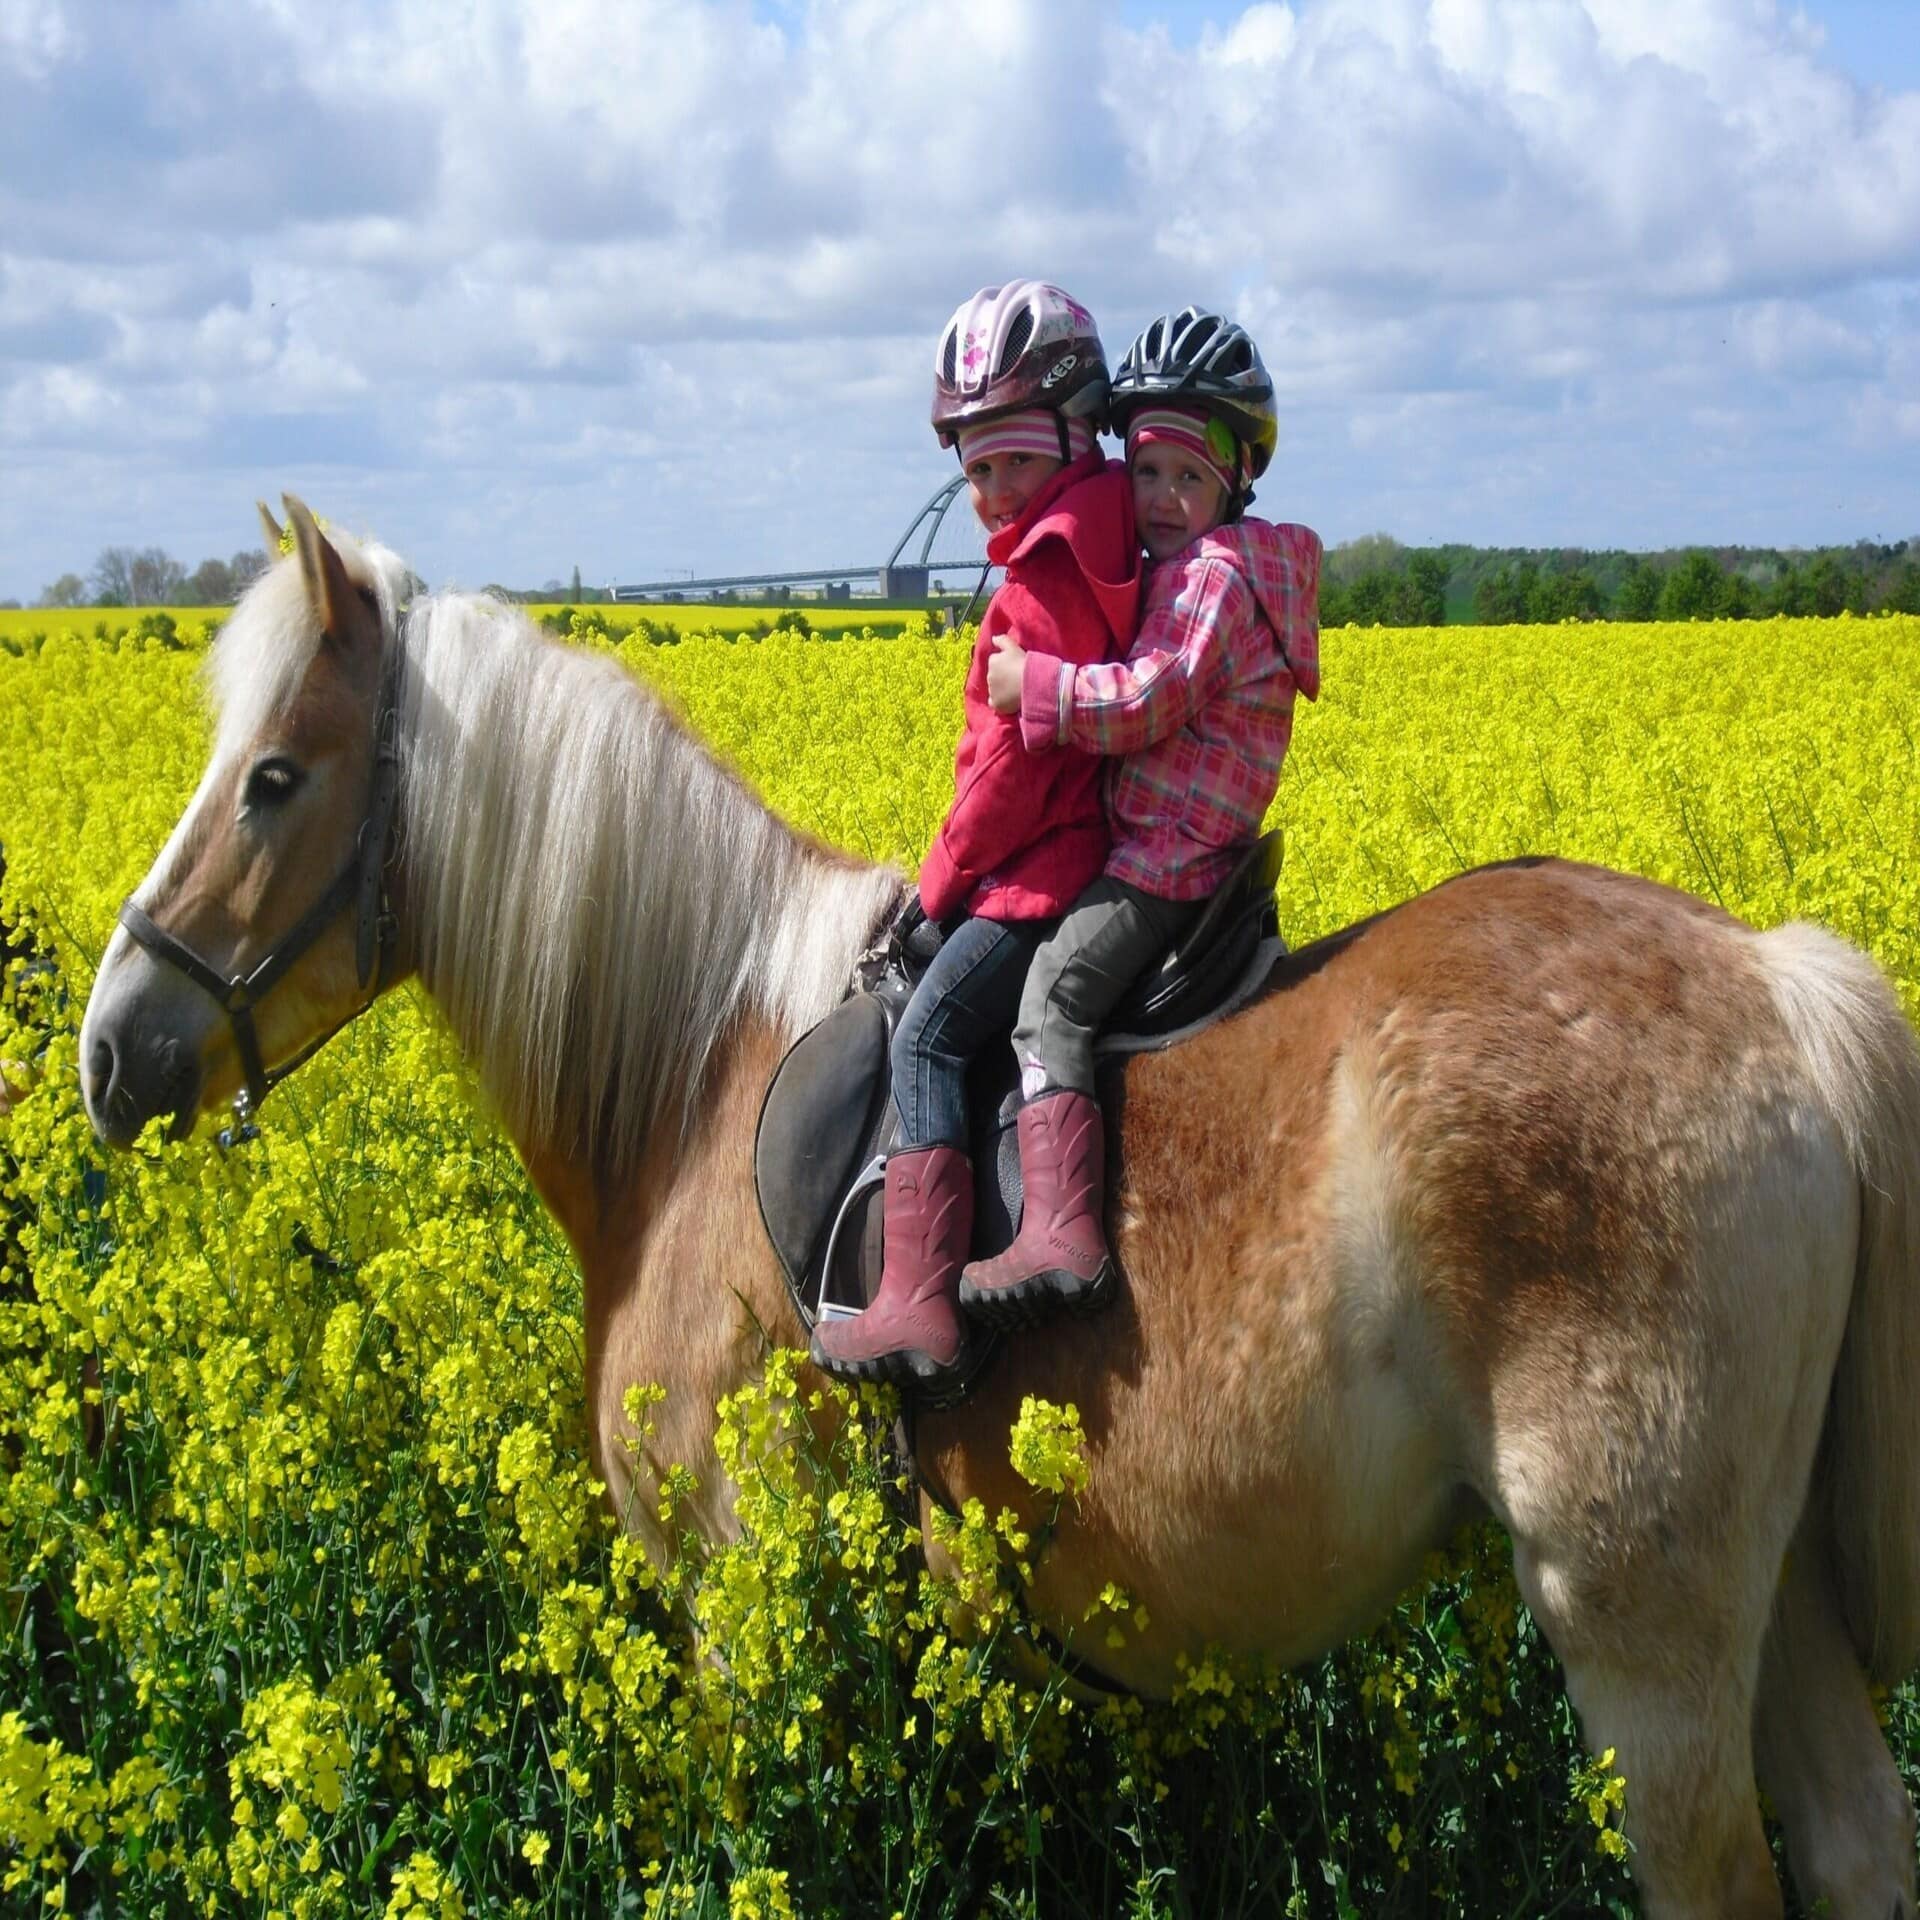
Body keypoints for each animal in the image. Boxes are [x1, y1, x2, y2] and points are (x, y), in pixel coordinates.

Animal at [74, 503, 1920, 1912]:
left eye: (273, 779)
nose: (109, 1049)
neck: (691, 1075)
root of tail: (1781, 987)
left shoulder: (739, 1622)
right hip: (1782, 1602)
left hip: (1644, 1631)